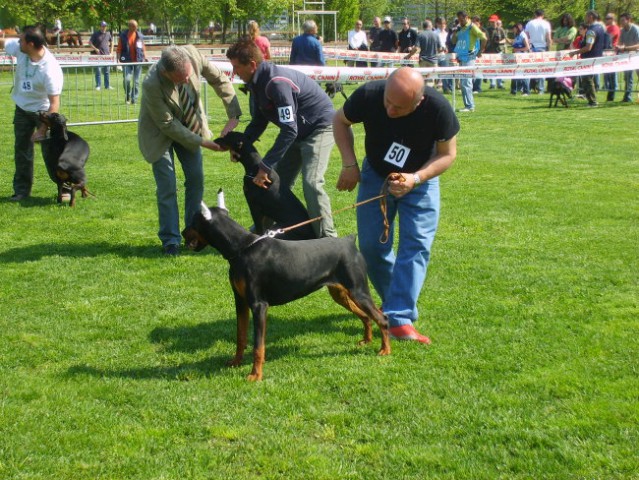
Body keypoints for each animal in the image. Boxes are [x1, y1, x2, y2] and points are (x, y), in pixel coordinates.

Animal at [180, 203, 390, 382]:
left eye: (192, 221)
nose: (182, 231)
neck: (241, 249)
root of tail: (349, 241)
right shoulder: (240, 301)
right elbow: (240, 336)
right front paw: (236, 362)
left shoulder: (259, 305)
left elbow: (258, 345)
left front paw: (255, 375)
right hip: (341, 294)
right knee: (366, 316)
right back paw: (366, 340)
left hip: (358, 291)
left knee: (382, 318)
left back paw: (385, 350)